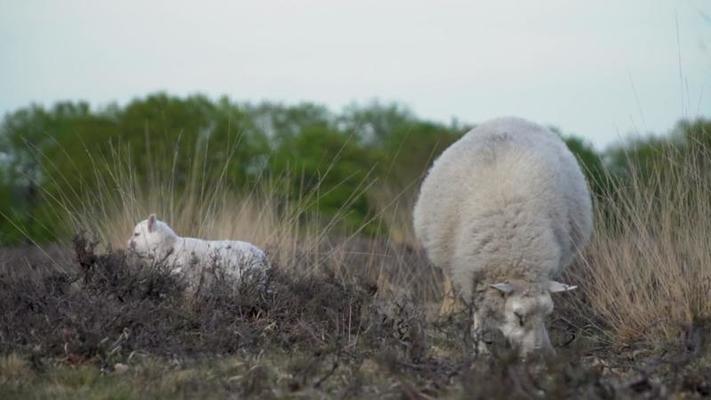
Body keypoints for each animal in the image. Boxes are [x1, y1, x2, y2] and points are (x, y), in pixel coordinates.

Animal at [414, 115, 592, 360]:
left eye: (548, 314)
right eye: (518, 316)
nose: (541, 356)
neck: (515, 255)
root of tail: (512, 118)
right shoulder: (473, 272)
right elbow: (478, 317)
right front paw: (480, 352)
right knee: (449, 287)